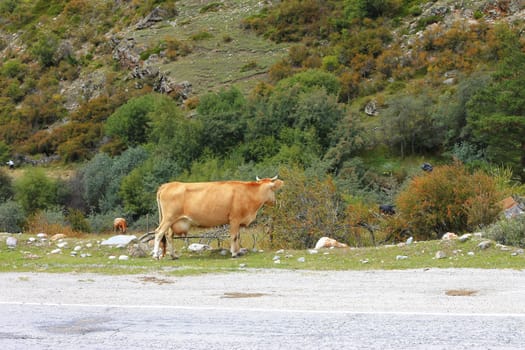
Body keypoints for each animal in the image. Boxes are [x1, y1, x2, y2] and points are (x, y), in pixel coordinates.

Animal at [151, 176, 282, 258]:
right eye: (273, 189)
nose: (275, 202)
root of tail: (167, 185)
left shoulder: (237, 221)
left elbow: (237, 236)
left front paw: (238, 251)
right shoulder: (234, 219)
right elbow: (234, 236)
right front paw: (234, 254)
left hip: (173, 221)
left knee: (168, 236)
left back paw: (174, 256)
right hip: (168, 218)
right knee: (159, 232)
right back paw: (156, 255)